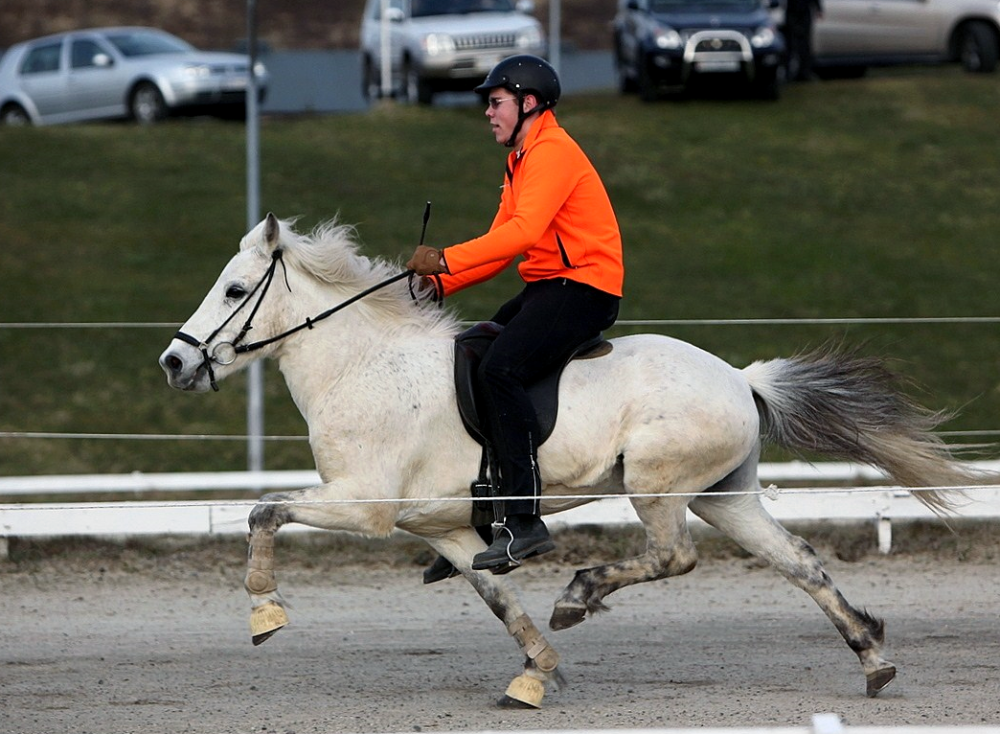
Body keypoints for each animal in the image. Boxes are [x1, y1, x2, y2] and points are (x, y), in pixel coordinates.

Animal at [162, 216, 984, 712]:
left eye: (235, 289)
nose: (174, 362)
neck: (361, 365)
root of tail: (739, 377)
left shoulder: (362, 503)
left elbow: (263, 510)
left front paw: (265, 610)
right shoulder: (446, 531)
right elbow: (501, 603)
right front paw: (537, 673)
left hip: (657, 487)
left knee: (674, 557)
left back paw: (582, 592)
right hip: (726, 496)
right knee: (800, 562)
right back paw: (871, 658)